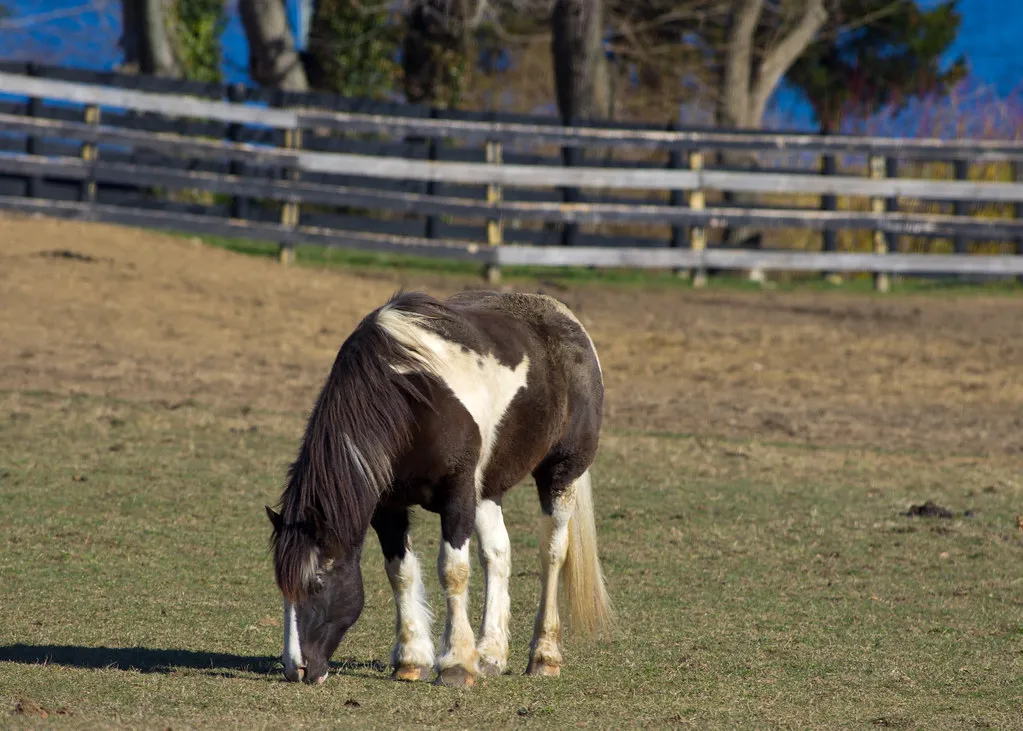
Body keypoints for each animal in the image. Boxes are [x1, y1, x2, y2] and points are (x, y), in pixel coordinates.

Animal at [264, 289, 614, 688]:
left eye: (318, 585)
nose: (296, 669)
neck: (409, 399)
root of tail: (566, 319)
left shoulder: (457, 495)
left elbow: (453, 570)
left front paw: (456, 664)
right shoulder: (388, 508)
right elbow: (400, 572)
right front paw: (411, 659)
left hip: (561, 474)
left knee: (552, 554)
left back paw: (544, 654)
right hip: (488, 491)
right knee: (497, 555)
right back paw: (490, 654)